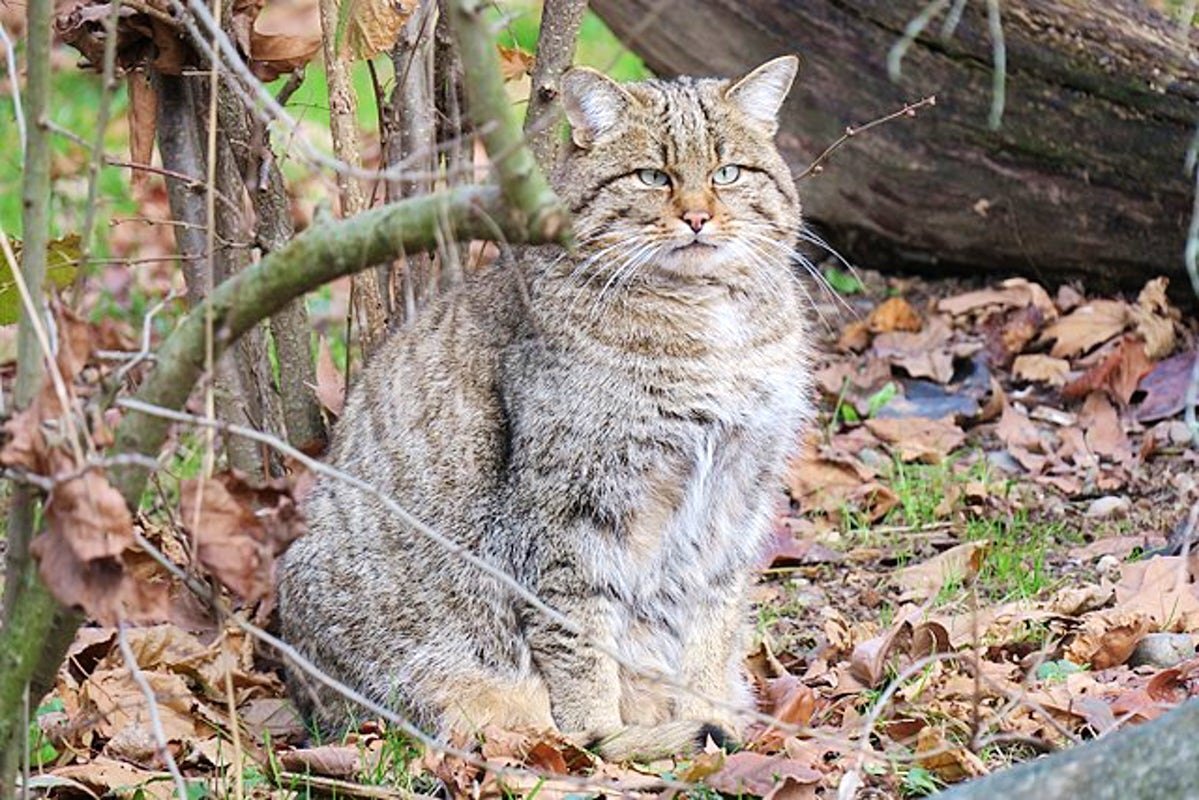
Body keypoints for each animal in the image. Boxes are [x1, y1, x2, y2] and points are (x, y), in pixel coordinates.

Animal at [275, 54, 815, 758]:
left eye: (727, 173)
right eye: (652, 176)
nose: (698, 217)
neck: (708, 327)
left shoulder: (736, 492)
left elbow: (711, 623)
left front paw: (710, 710)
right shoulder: (569, 509)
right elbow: (579, 635)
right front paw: (599, 732)